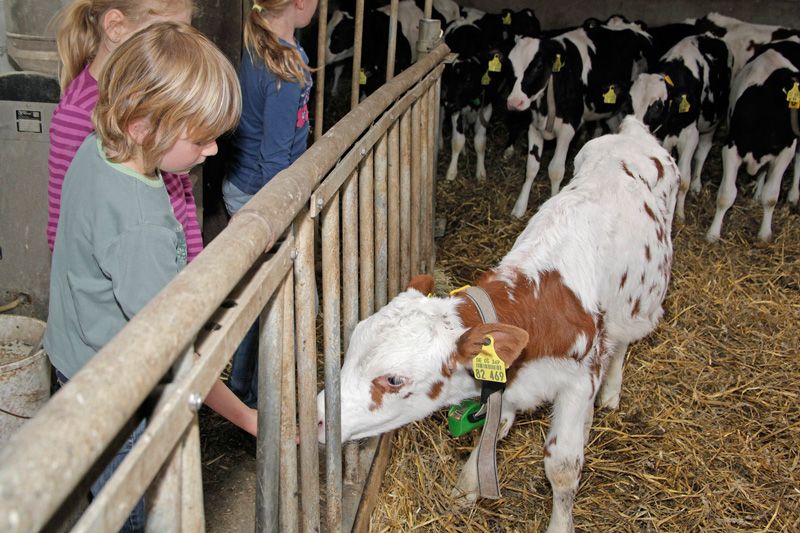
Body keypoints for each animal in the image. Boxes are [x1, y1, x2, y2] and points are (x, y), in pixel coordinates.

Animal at [506, 16, 656, 217]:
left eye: (538, 65)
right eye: (509, 65)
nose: (514, 102)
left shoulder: (569, 128)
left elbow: (555, 170)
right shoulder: (534, 126)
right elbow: (531, 167)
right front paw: (520, 207)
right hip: (609, 110)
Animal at [632, 33, 732, 220]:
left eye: (657, 106)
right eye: (630, 101)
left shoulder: (690, 135)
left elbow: (683, 179)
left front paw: (679, 214)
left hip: (711, 124)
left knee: (703, 152)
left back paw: (696, 184)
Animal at [708, 39, 800, 241]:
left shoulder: (785, 152)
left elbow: (771, 196)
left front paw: (765, 233)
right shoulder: (731, 148)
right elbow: (726, 195)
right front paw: (713, 233)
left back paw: (794, 194)